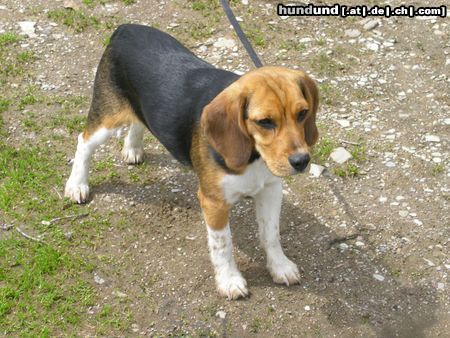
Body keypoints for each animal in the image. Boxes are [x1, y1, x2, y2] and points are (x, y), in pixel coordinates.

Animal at [66, 23, 320, 298]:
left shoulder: (270, 189)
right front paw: (229, 280)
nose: (301, 161)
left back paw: (132, 147)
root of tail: (126, 28)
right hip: (107, 119)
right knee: (84, 142)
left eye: (303, 113)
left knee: (138, 121)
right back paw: (77, 185)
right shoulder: (214, 202)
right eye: (265, 122)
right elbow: (223, 245)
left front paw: (279, 266)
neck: (254, 157)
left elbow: (271, 234)